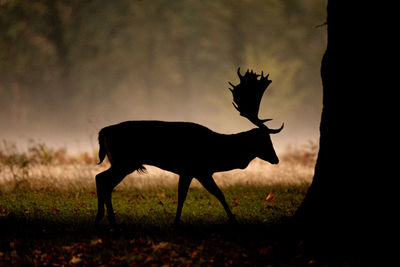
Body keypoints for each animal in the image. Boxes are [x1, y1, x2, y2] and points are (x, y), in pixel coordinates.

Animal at [94, 68, 282, 228]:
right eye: (265, 140)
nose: (276, 159)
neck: (219, 153)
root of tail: (103, 132)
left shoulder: (190, 172)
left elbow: (185, 195)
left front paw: (176, 222)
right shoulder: (197, 169)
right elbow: (216, 194)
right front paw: (233, 220)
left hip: (122, 162)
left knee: (101, 179)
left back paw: (104, 219)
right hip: (124, 161)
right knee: (102, 179)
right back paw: (108, 220)